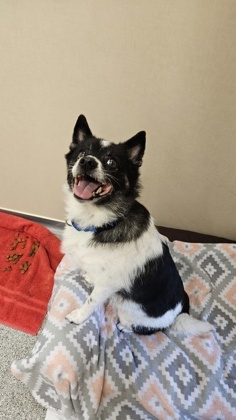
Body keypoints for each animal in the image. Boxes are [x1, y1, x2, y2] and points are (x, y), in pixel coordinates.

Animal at [62, 115, 212, 334]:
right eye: (82, 152)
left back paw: (124, 327)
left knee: (143, 328)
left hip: (133, 314)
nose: (87, 161)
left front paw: (78, 316)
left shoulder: (107, 284)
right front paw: (89, 277)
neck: (103, 220)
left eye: (111, 162)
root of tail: (180, 311)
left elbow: (91, 301)